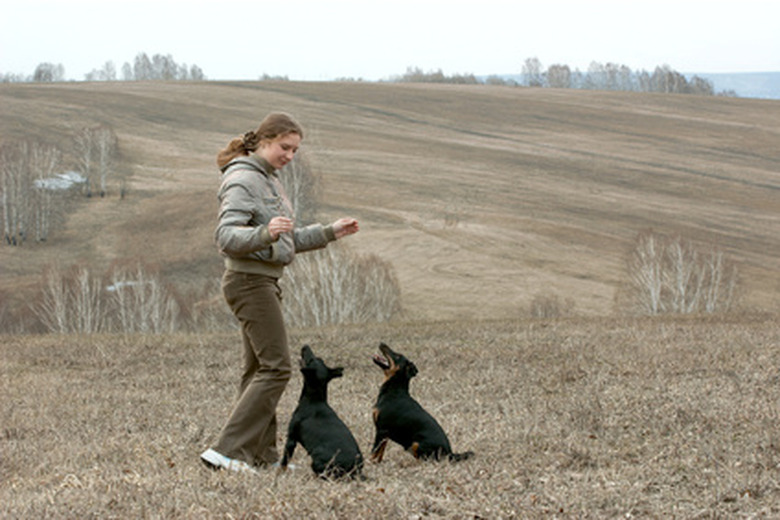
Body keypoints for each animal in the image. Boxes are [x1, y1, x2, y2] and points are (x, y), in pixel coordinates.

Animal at [282, 346, 364, 480]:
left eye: (311, 360)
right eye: (318, 358)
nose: (305, 346)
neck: (314, 400)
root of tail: (356, 470)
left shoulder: (291, 439)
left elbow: (283, 463)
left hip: (317, 457)